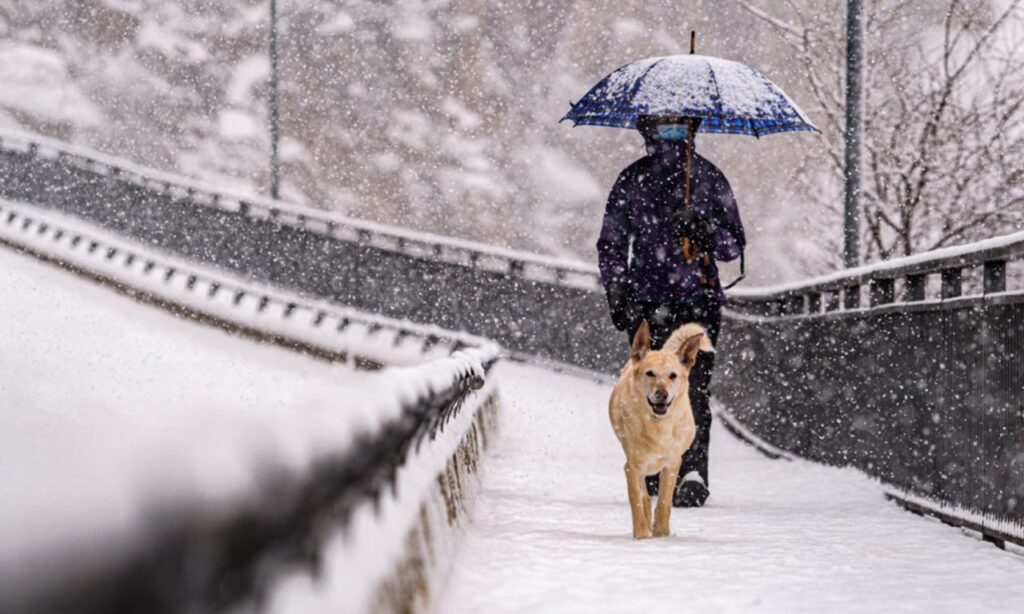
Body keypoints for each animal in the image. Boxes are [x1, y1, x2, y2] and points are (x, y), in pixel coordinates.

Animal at [606, 321, 712, 536]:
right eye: (650, 373)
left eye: (673, 375)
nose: (661, 394)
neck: (657, 424)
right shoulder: (633, 467)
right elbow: (638, 502)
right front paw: (642, 535)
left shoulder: (672, 463)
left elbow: (664, 502)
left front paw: (661, 534)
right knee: (645, 497)